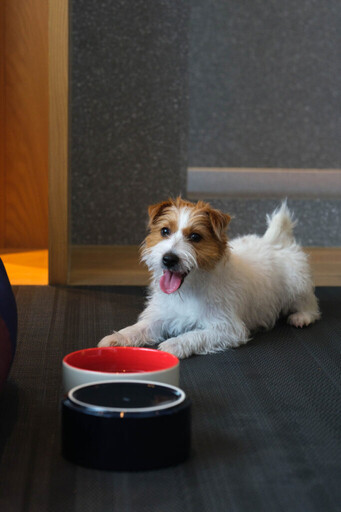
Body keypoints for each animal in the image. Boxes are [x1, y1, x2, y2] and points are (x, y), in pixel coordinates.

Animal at [97, 198, 318, 358]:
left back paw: (302, 317)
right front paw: (116, 338)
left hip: (297, 285)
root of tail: (274, 241)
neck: (188, 290)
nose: (168, 259)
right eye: (165, 231)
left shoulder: (227, 328)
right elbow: (138, 329)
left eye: (195, 237)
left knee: (311, 305)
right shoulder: (159, 317)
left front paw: (173, 344)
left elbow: (195, 335)